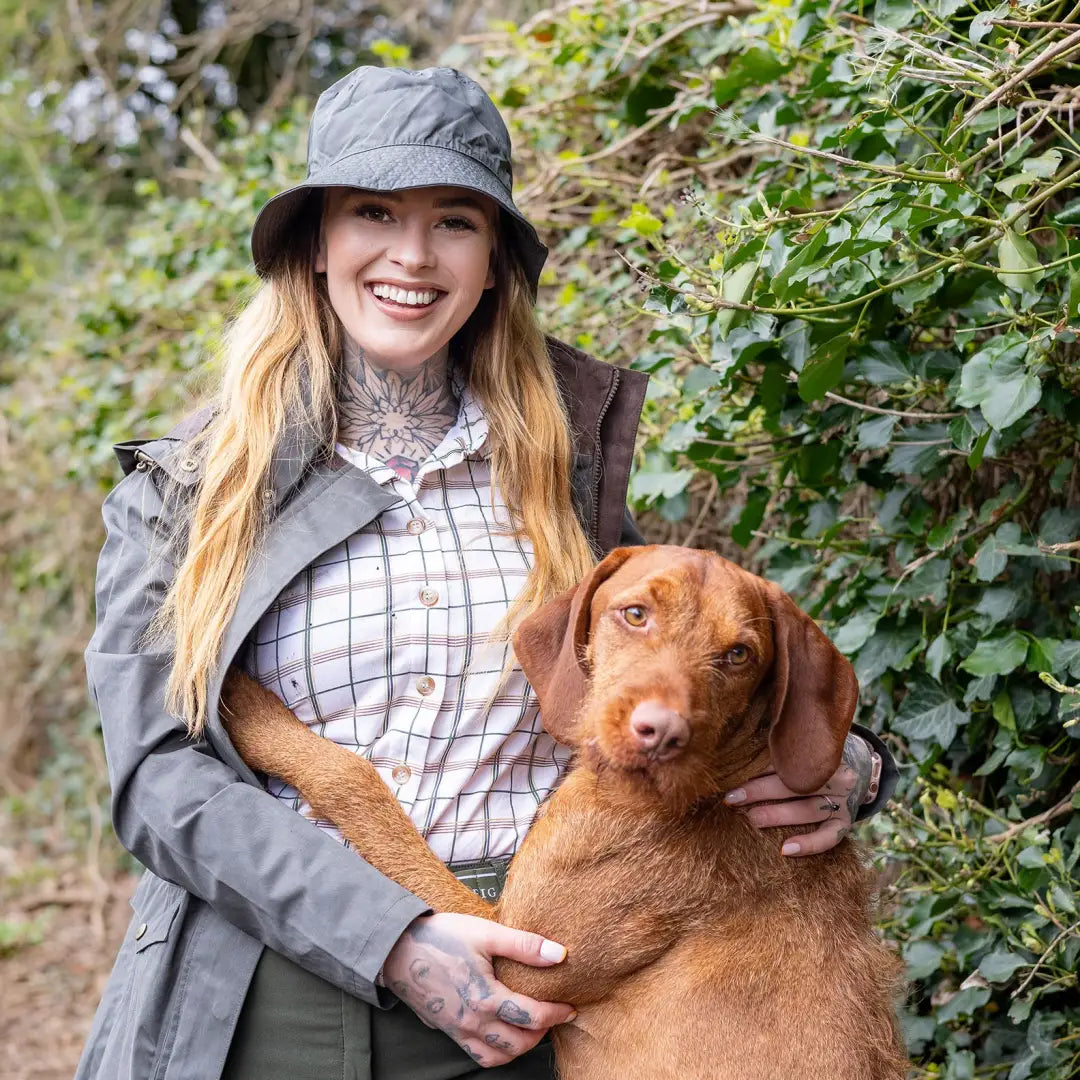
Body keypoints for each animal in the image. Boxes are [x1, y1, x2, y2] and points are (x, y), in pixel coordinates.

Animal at [223, 548, 907, 1080]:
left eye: (739, 654)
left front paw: (238, 699)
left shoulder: (515, 963)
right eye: (635, 614)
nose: (660, 734)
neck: (726, 780)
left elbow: (357, 783)